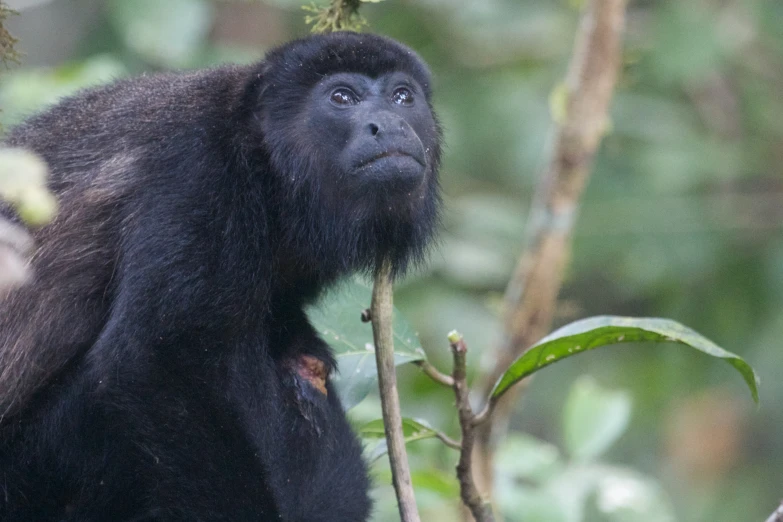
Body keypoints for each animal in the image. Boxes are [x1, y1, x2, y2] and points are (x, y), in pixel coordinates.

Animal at [0, 32, 440, 520]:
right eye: (342, 97)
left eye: (403, 97)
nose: (391, 125)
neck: (268, 169)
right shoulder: (200, 173)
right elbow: (158, 358)